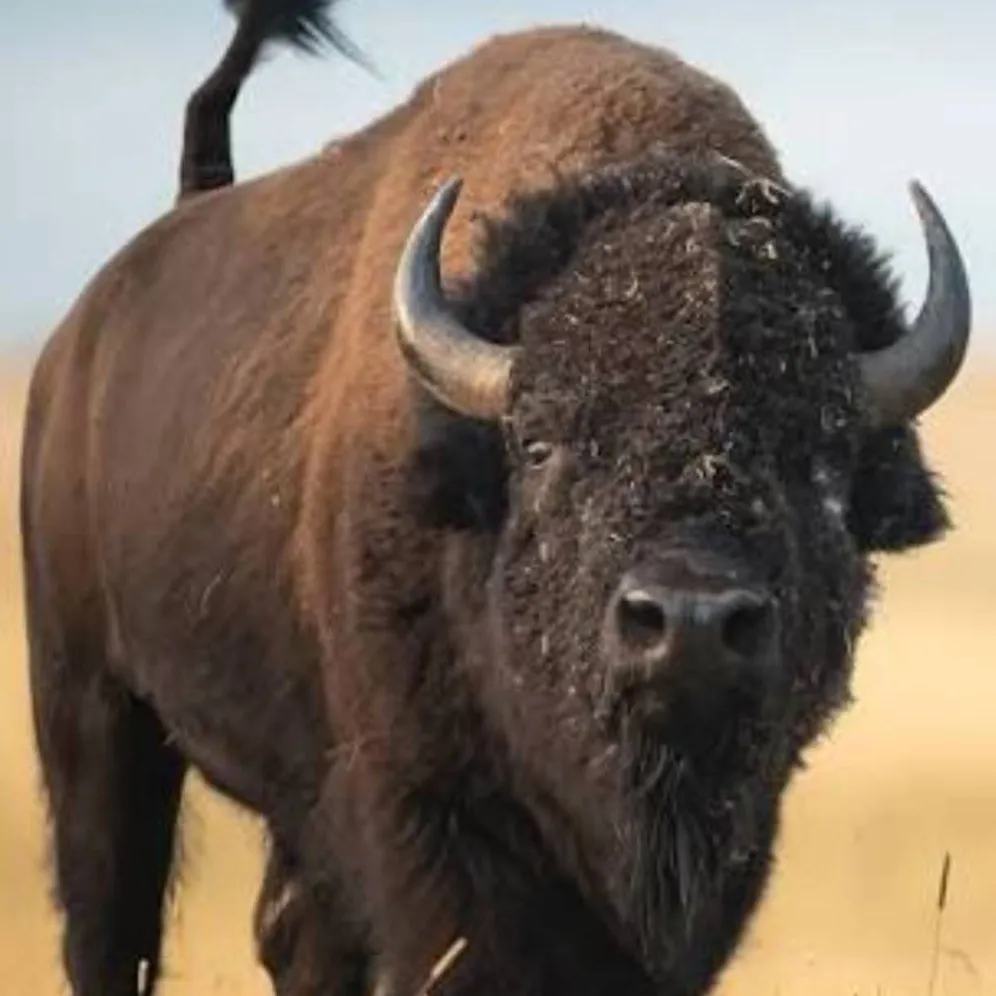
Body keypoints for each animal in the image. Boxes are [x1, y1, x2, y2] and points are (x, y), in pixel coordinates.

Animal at [20, 1, 972, 994]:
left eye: (823, 463)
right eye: (542, 445)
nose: (691, 622)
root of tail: (81, 341)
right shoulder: (427, 826)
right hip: (92, 707)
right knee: (111, 917)